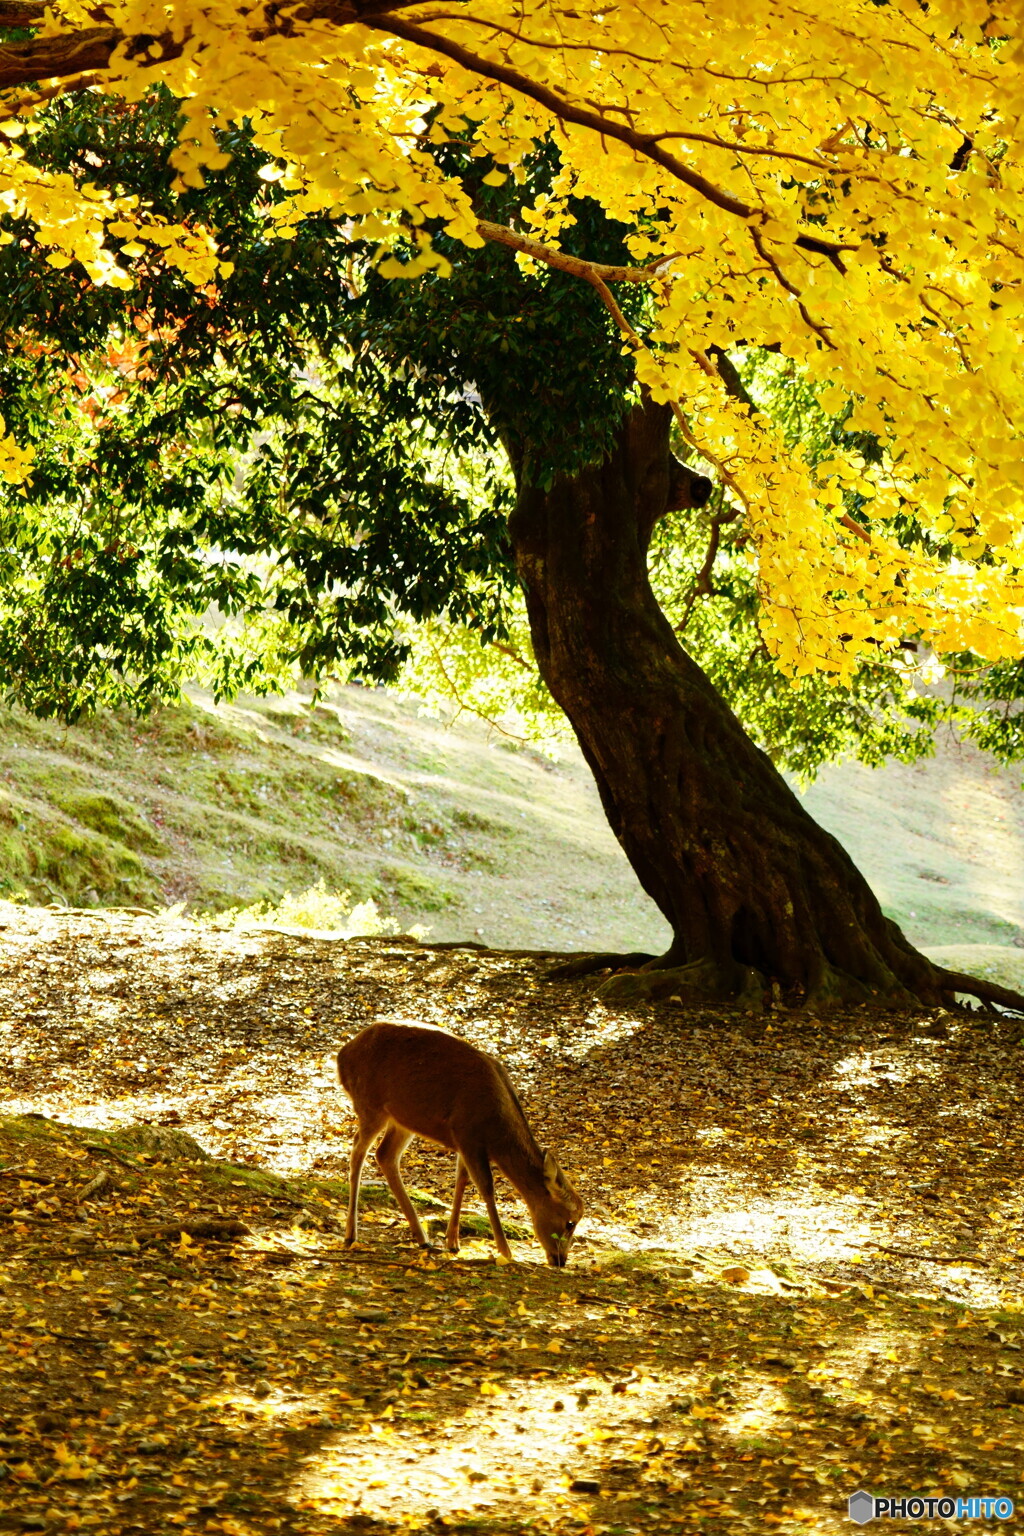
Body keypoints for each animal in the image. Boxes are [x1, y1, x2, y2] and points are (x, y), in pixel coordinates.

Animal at [336, 1019, 583, 1259]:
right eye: (570, 1222)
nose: (561, 1260)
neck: (495, 1128)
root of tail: (342, 1055)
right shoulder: (468, 1135)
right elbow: (486, 1186)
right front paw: (505, 1251)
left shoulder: (463, 1141)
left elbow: (462, 1180)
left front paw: (453, 1242)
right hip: (369, 1105)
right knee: (357, 1150)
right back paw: (351, 1234)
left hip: (402, 1120)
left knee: (385, 1154)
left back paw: (423, 1238)